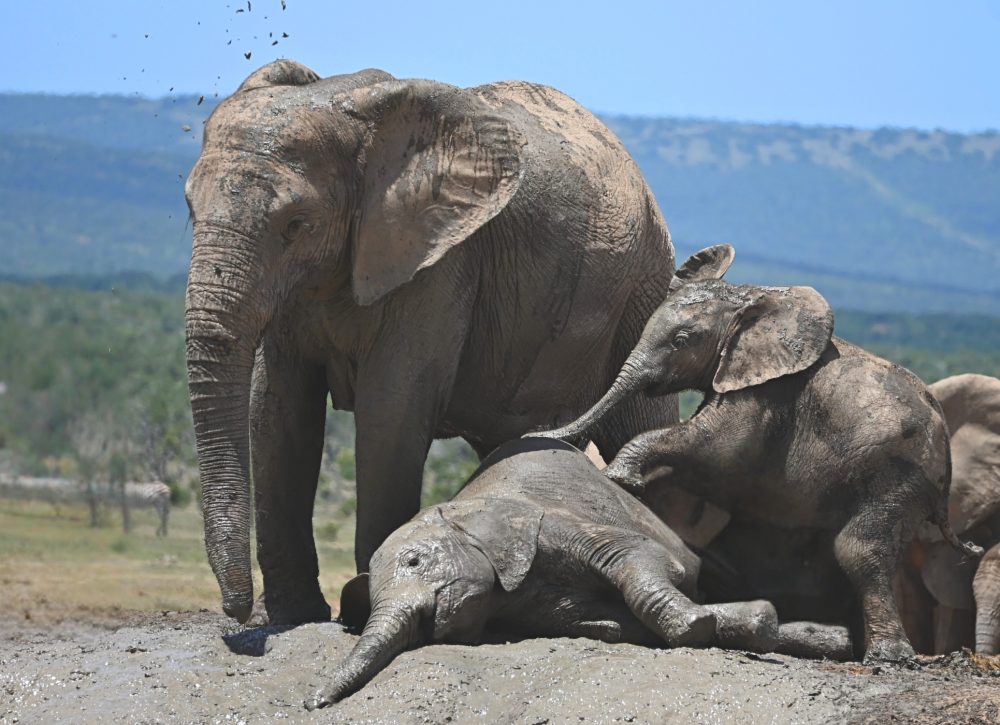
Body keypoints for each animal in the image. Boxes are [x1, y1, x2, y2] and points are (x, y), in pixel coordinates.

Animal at [184, 60, 679, 624]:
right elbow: (278, 410)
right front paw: (292, 617)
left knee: (642, 422)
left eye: (295, 224)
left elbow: (390, 408)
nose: (235, 612)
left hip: (643, 285)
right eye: (189, 210)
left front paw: (361, 604)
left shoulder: (440, 263)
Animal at [306, 437, 791, 709]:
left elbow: (634, 555)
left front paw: (696, 625)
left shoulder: (547, 522)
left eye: (413, 562)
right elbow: (600, 621)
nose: (314, 704)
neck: (463, 506)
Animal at [534, 244, 982, 661]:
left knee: (859, 550)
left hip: (898, 473)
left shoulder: (767, 394)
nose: (540, 433)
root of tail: (945, 454)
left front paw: (619, 479)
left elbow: (716, 447)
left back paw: (886, 657)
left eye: (681, 341)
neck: (749, 301)